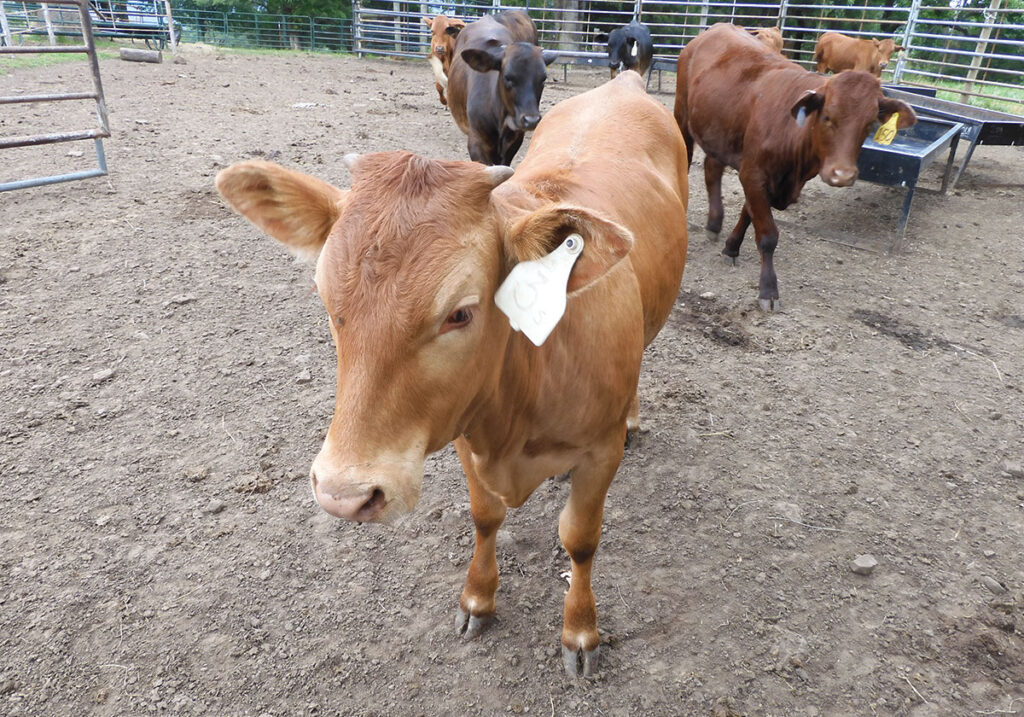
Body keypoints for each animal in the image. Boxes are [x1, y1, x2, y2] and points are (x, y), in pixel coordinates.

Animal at [675, 23, 917, 309]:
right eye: (827, 116)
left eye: (869, 123)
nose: (842, 175)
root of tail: (718, 27)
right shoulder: (754, 174)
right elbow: (767, 234)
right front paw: (768, 289)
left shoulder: (762, 177)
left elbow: (749, 214)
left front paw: (731, 246)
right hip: (682, 114)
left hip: (719, 131)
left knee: (712, 168)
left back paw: (714, 224)